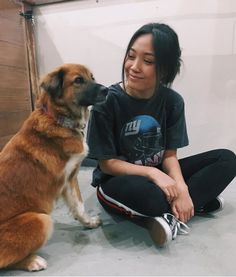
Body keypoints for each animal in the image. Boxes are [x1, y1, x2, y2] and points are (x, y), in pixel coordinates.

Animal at [0, 63, 107, 270]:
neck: (59, 119)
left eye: (92, 77)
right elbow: (79, 204)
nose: (106, 90)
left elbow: (78, 206)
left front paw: (88, 222)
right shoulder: (66, 178)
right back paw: (33, 261)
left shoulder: (70, 179)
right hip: (40, 219)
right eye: (78, 80)